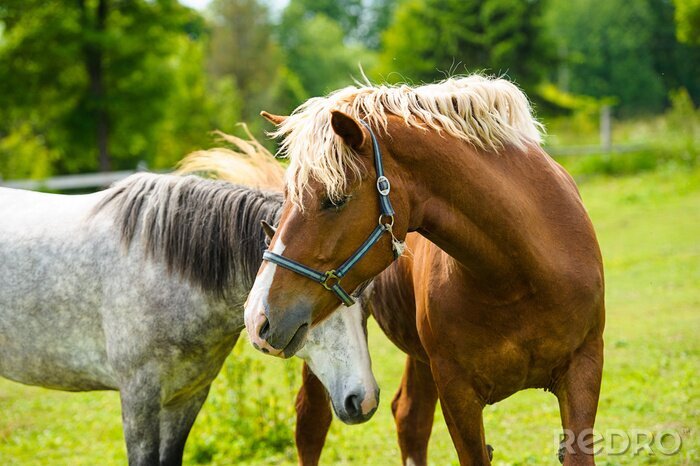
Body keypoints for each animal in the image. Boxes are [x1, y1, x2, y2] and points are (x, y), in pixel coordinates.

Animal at [0, 137, 379, 465]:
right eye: (318, 309)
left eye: (366, 311)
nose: (363, 400)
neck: (162, 266)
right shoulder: (139, 400)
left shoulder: (187, 397)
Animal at [244, 75, 605, 465]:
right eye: (288, 196)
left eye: (335, 199)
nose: (257, 316)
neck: (517, 280)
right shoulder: (456, 390)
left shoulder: (584, 369)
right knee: (313, 424)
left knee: (408, 418)